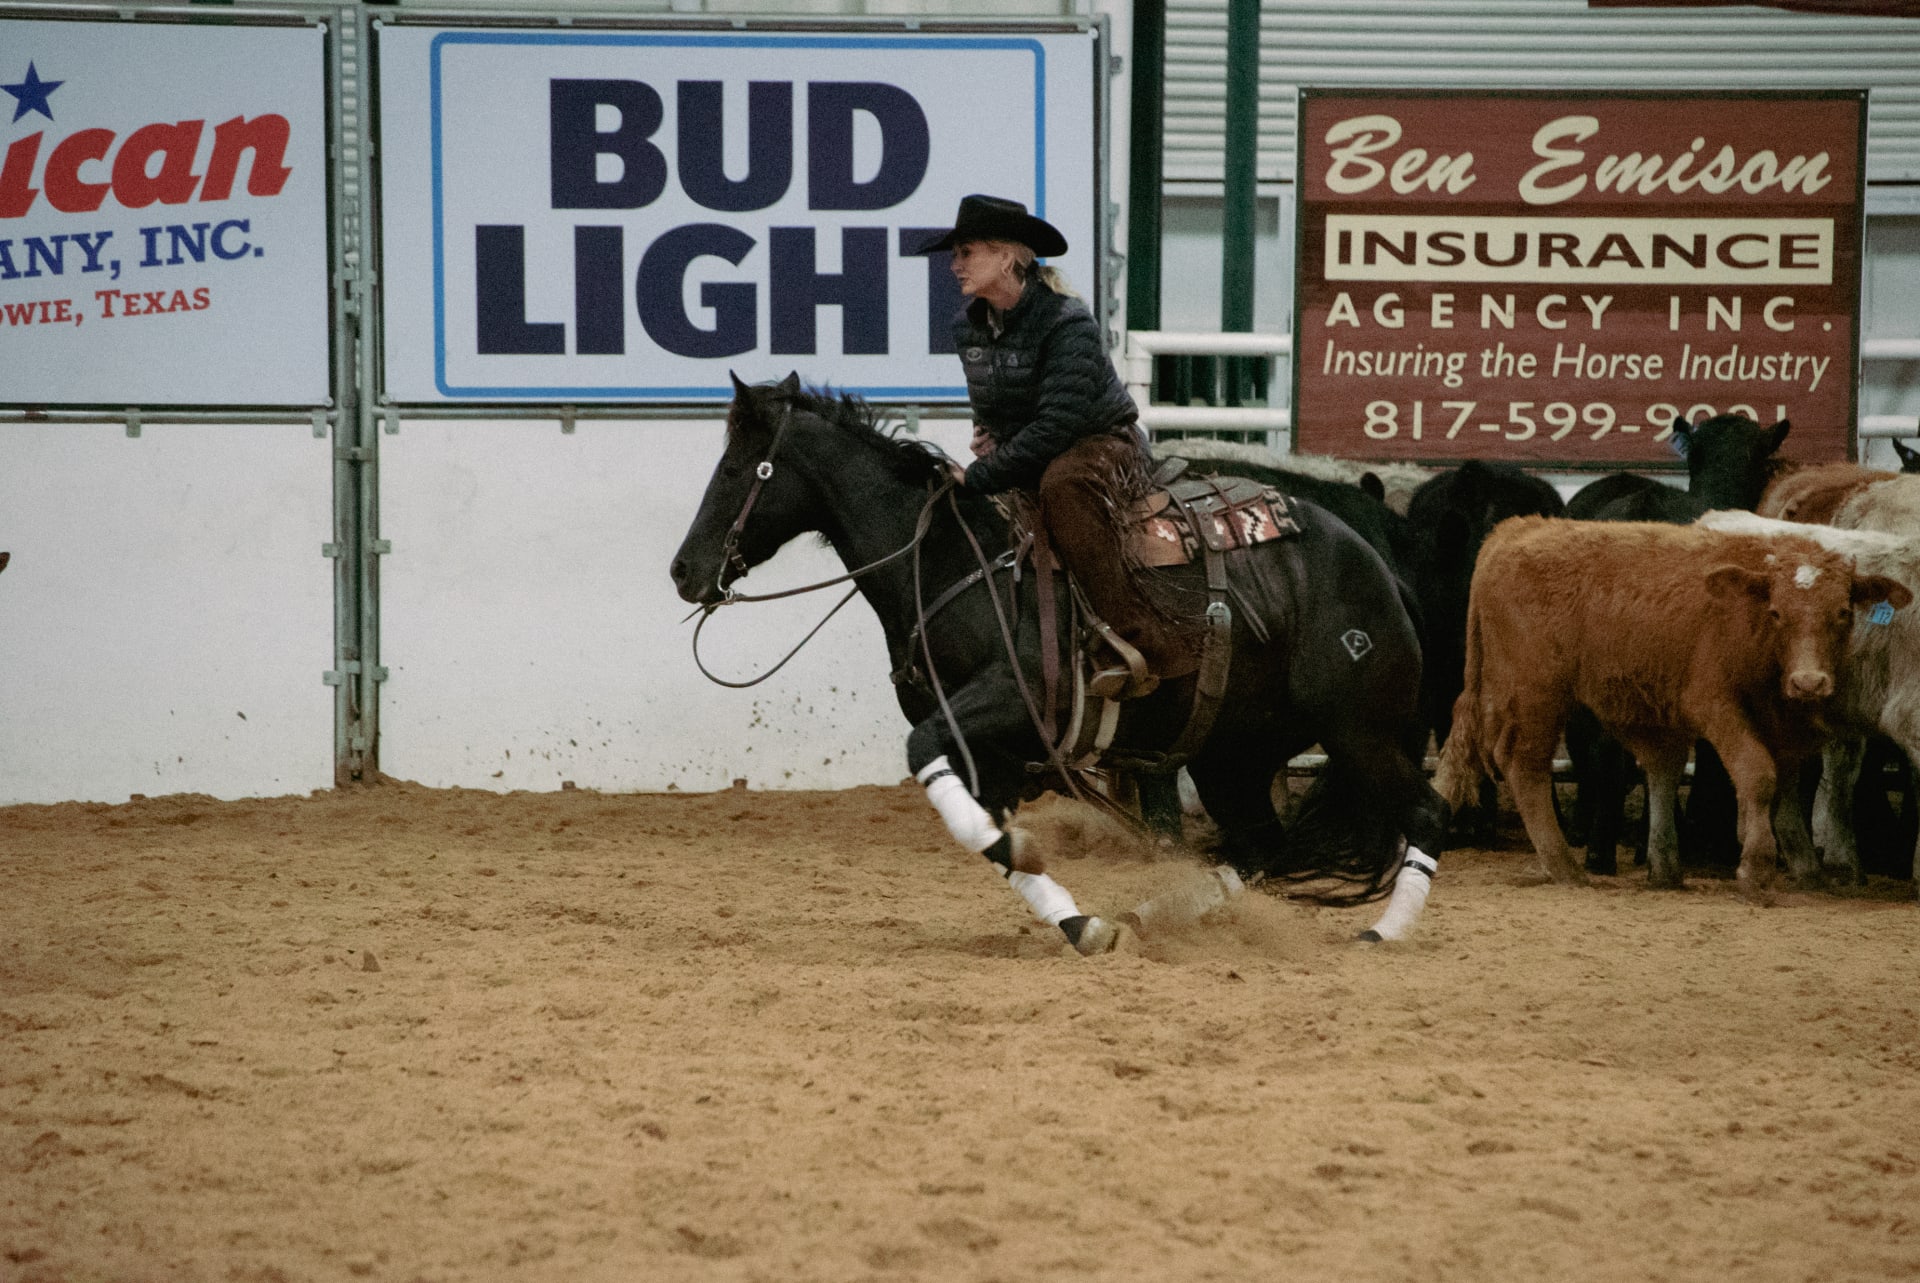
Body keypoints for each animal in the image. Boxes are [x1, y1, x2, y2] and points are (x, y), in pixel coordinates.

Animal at [672, 372, 1443, 952]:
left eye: (736, 468)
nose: (684, 571)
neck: (951, 561)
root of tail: (1382, 570)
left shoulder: (1009, 702)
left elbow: (929, 759)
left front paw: (1057, 888)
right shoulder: (989, 756)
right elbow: (985, 838)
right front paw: (1080, 921)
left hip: (1360, 733)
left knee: (1427, 814)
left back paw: (1381, 934)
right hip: (1235, 756)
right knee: (1259, 847)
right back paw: (1152, 917)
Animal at [1436, 514, 1912, 898]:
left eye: (1843, 613)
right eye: (1777, 612)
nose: (1809, 682)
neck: (1750, 627)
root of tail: (1517, 528)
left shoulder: (1786, 727)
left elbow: (1784, 790)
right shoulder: (1715, 704)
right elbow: (1757, 774)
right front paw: (1755, 867)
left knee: (1658, 765)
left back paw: (1662, 868)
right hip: (1536, 694)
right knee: (1525, 766)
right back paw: (1565, 866)